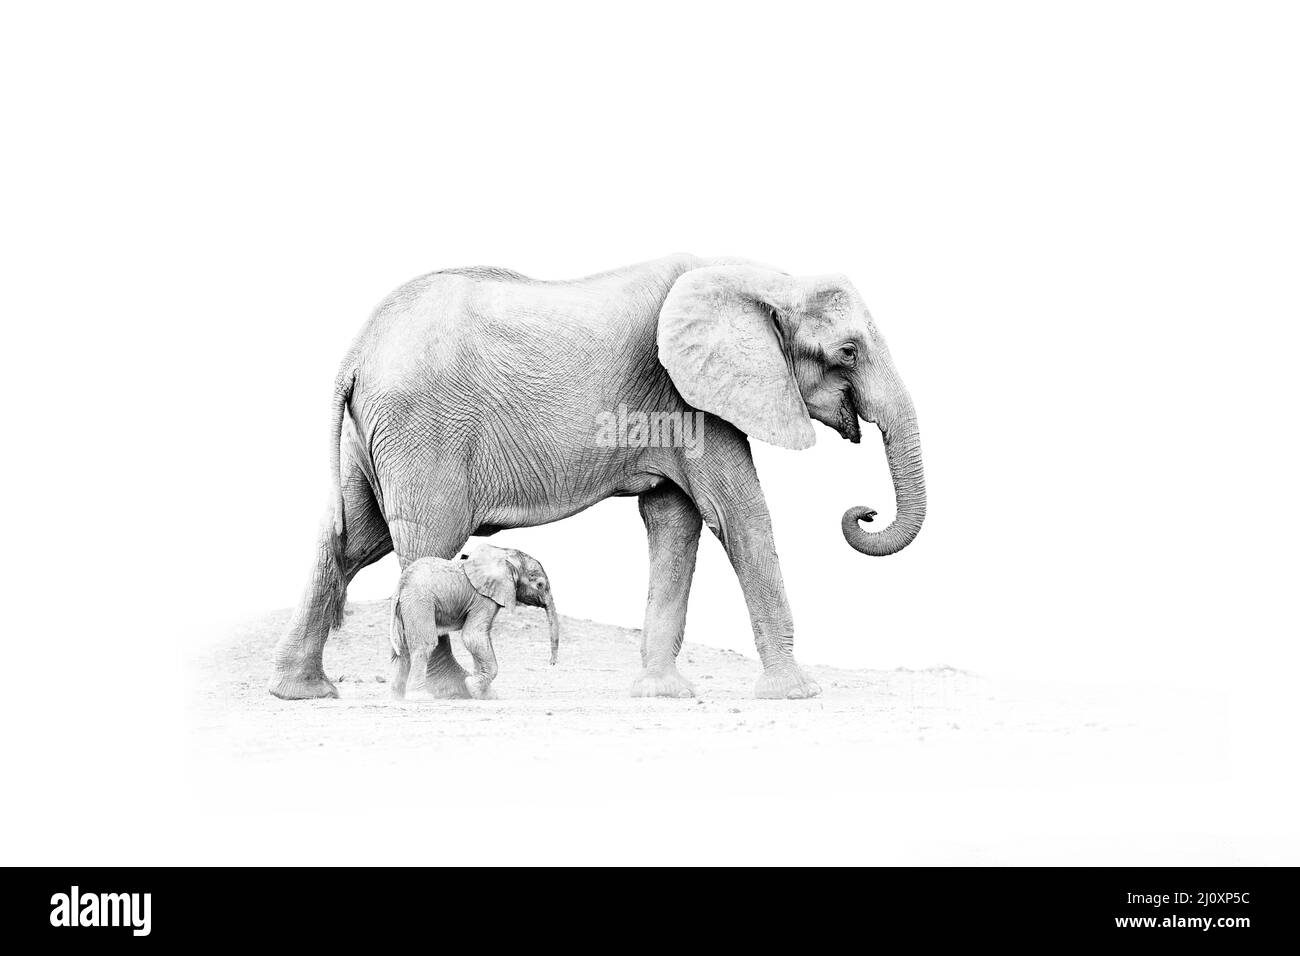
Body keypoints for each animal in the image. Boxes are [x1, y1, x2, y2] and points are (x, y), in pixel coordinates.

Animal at [389, 545, 559, 700]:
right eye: (540, 585)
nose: (551, 663)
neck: (503, 554)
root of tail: (400, 585)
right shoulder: (483, 598)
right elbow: (473, 636)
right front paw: (472, 686)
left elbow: (482, 638)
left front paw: (486, 694)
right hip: (419, 602)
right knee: (425, 645)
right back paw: (420, 697)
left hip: (405, 607)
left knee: (402, 649)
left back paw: (397, 697)